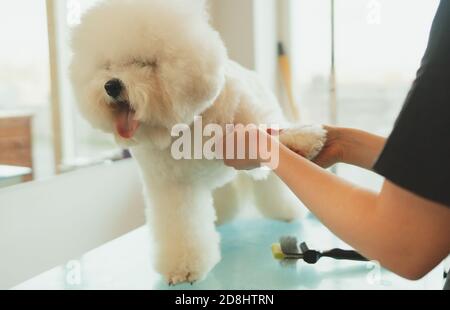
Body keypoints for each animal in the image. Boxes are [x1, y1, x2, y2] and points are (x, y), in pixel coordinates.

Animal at [70, 0, 326, 286]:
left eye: (144, 63)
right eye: (107, 66)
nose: (111, 85)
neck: (187, 124)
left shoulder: (252, 126)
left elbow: (274, 140)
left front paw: (305, 138)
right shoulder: (173, 187)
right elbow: (182, 228)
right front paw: (183, 267)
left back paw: (286, 210)